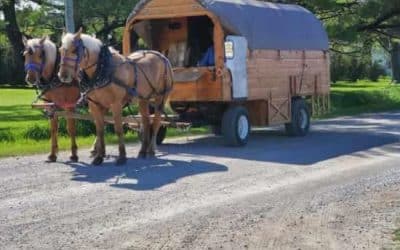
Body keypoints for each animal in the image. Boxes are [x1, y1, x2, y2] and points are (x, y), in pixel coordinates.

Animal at [58, 28, 173, 166]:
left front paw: (122, 156)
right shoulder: (95, 105)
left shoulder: (116, 104)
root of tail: (162, 56)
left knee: (156, 122)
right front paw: (99, 157)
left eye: (75, 50)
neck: (103, 69)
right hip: (143, 99)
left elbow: (118, 129)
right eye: (60, 50)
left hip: (161, 97)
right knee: (145, 122)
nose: (63, 76)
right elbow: (100, 130)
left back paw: (151, 150)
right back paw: (142, 151)